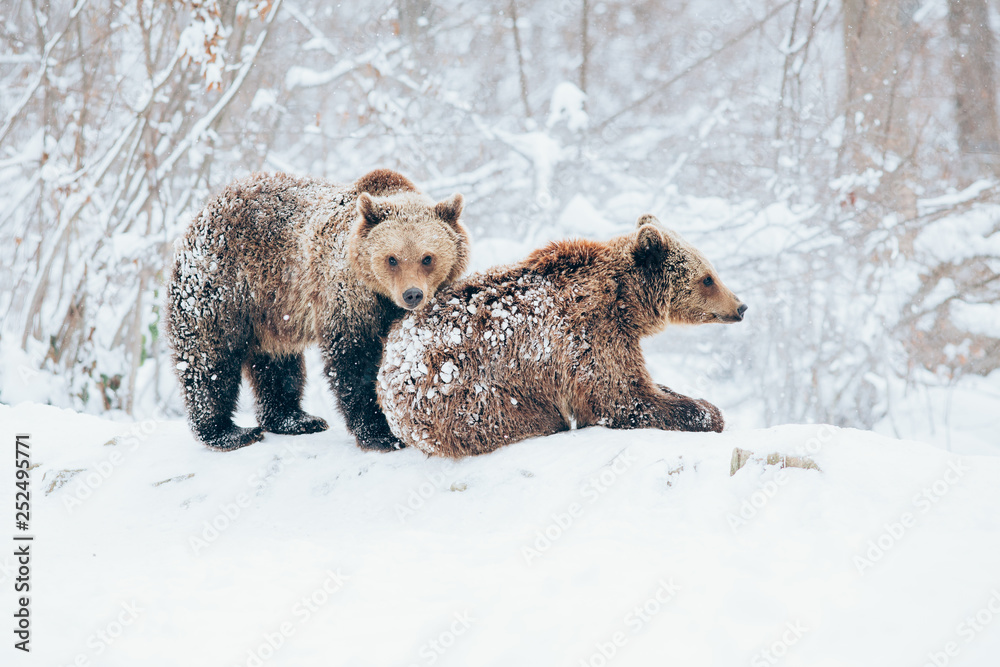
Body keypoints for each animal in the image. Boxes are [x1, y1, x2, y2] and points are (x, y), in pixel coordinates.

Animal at [166, 169, 470, 452]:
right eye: (392, 259)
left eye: (427, 258)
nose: (412, 294)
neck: (381, 296)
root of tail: (207, 209)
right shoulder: (347, 296)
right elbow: (354, 360)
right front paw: (380, 433)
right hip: (222, 284)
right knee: (210, 357)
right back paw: (228, 432)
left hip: (273, 307)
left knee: (278, 363)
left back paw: (295, 419)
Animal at [376, 214, 746, 457]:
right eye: (708, 278)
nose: (740, 306)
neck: (626, 301)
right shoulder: (588, 335)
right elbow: (621, 397)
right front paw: (706, 410)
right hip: (469, 397)